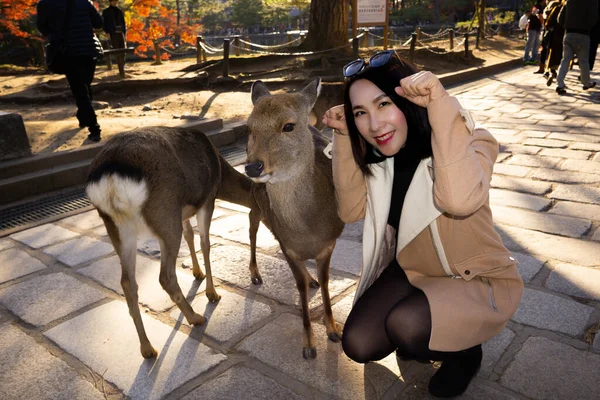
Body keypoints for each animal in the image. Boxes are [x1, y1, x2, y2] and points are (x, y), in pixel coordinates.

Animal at [85, 126, 262, 358]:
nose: (256, 276)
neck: (221, 174)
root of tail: (111, 176)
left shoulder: (184, 213)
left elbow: (190, 235)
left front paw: (197, 273)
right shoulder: (207, 199)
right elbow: (205, 243)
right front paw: (212, 293)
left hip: (118, 228)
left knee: (127, 282)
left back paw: (147, 348)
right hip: (165, 215)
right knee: (165, 275)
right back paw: (196, 318)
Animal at [245, 79, 346, 360]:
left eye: (288, 126)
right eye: (249, 127)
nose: (252, 166)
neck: (307, 229)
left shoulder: (330, 244)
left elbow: (325, 282)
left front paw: (334, 330)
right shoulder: (287, 245)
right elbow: (298, 287)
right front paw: (308, 346)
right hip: (255, 201)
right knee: (252, 224)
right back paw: (255, 274)